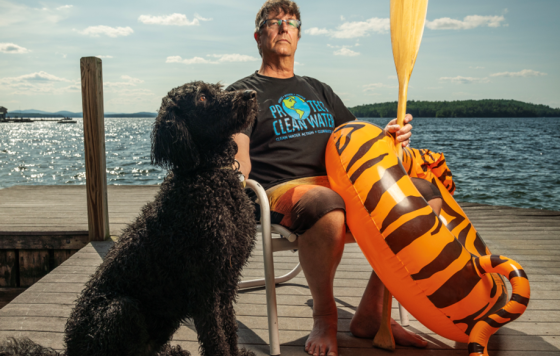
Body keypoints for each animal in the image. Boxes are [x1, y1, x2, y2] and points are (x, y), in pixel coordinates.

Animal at [0, 81, 258, 356]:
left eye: (218, 88)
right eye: (201, 97)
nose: (251, 94)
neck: (209, 176)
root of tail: (70, 349)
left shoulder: (226, 282)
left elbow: (229, 330)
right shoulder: (204, 287)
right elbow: (216, 339)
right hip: (120, 309)